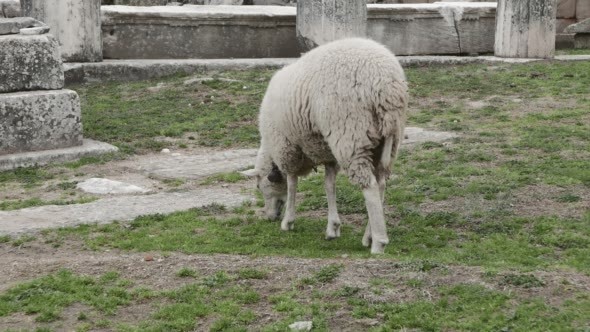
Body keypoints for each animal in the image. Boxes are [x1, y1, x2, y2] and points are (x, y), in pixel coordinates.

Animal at [243, 37, 410, 254]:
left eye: (259, 186)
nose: (269, 217)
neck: (270, 150)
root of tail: (387, 88)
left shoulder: (287, 148)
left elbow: (292, 183)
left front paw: (288, 221)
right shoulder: (328, 153)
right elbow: (329, 185)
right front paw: (333, 227)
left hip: (351, 136)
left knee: (370, 186)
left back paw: (378, 243)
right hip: (389, 139)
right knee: (381, 184)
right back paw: (369, 236)